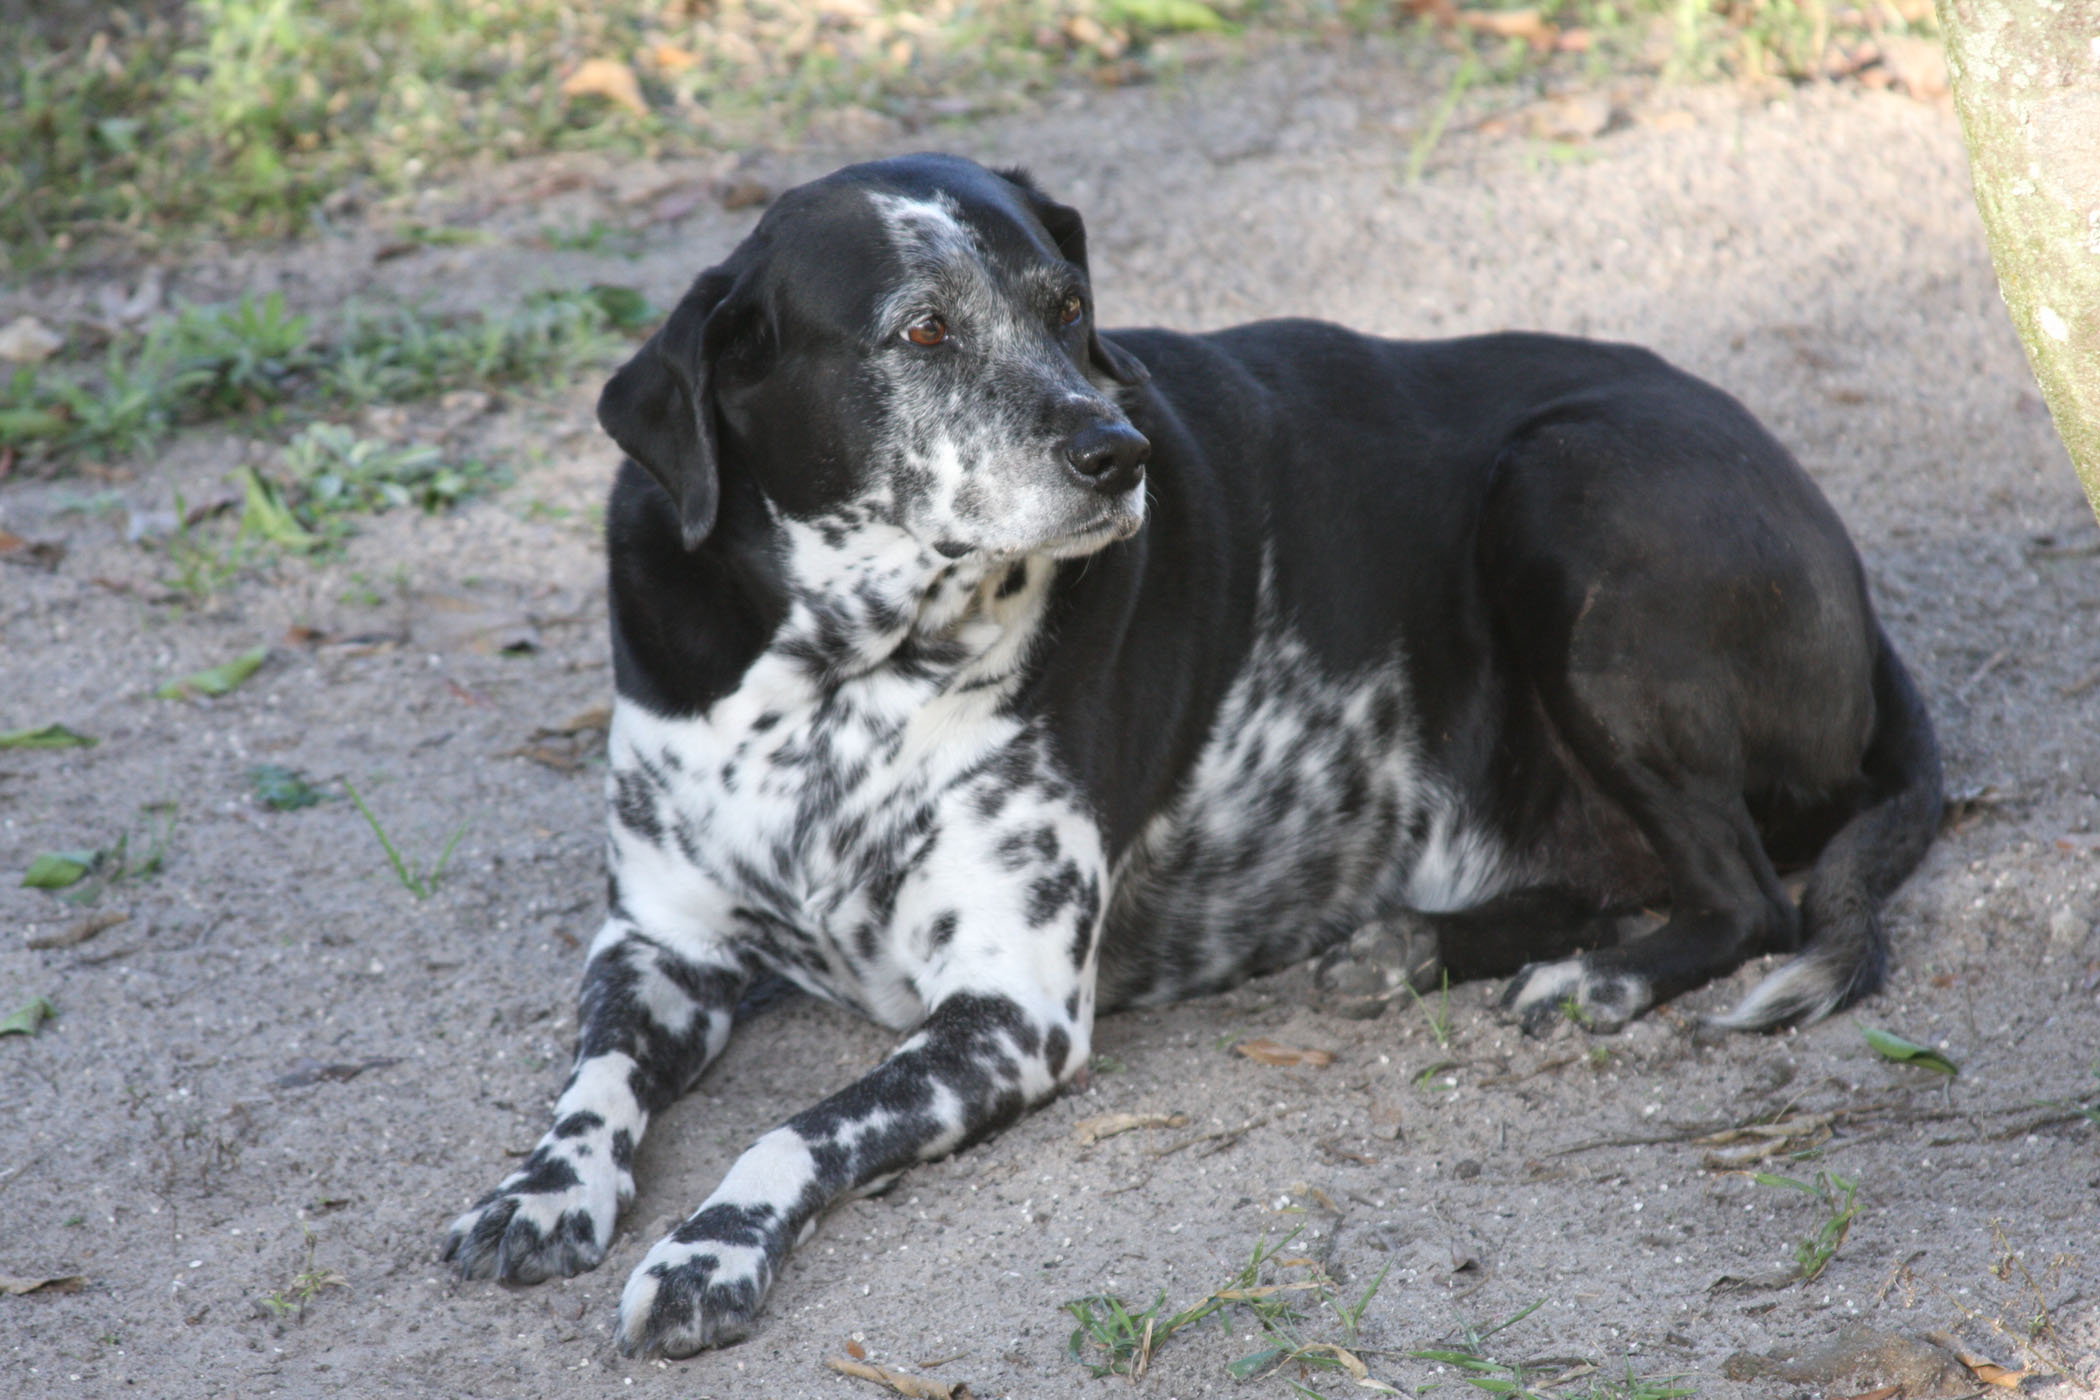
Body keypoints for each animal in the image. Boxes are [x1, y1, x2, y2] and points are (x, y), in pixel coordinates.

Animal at [443, 153, 1931, 1360]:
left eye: (1066, 308)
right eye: (921, 329)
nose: (1120, 450)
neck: (835, 675)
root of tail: (1850, 583)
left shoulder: (1010, 1007)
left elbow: (794, 1124)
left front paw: (707, 1247)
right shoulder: (661, 940)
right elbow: (589, 1080)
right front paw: (538, 1189)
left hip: (1563, 495)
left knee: (1748, 897)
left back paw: (1597, 980)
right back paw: (1412, 948)